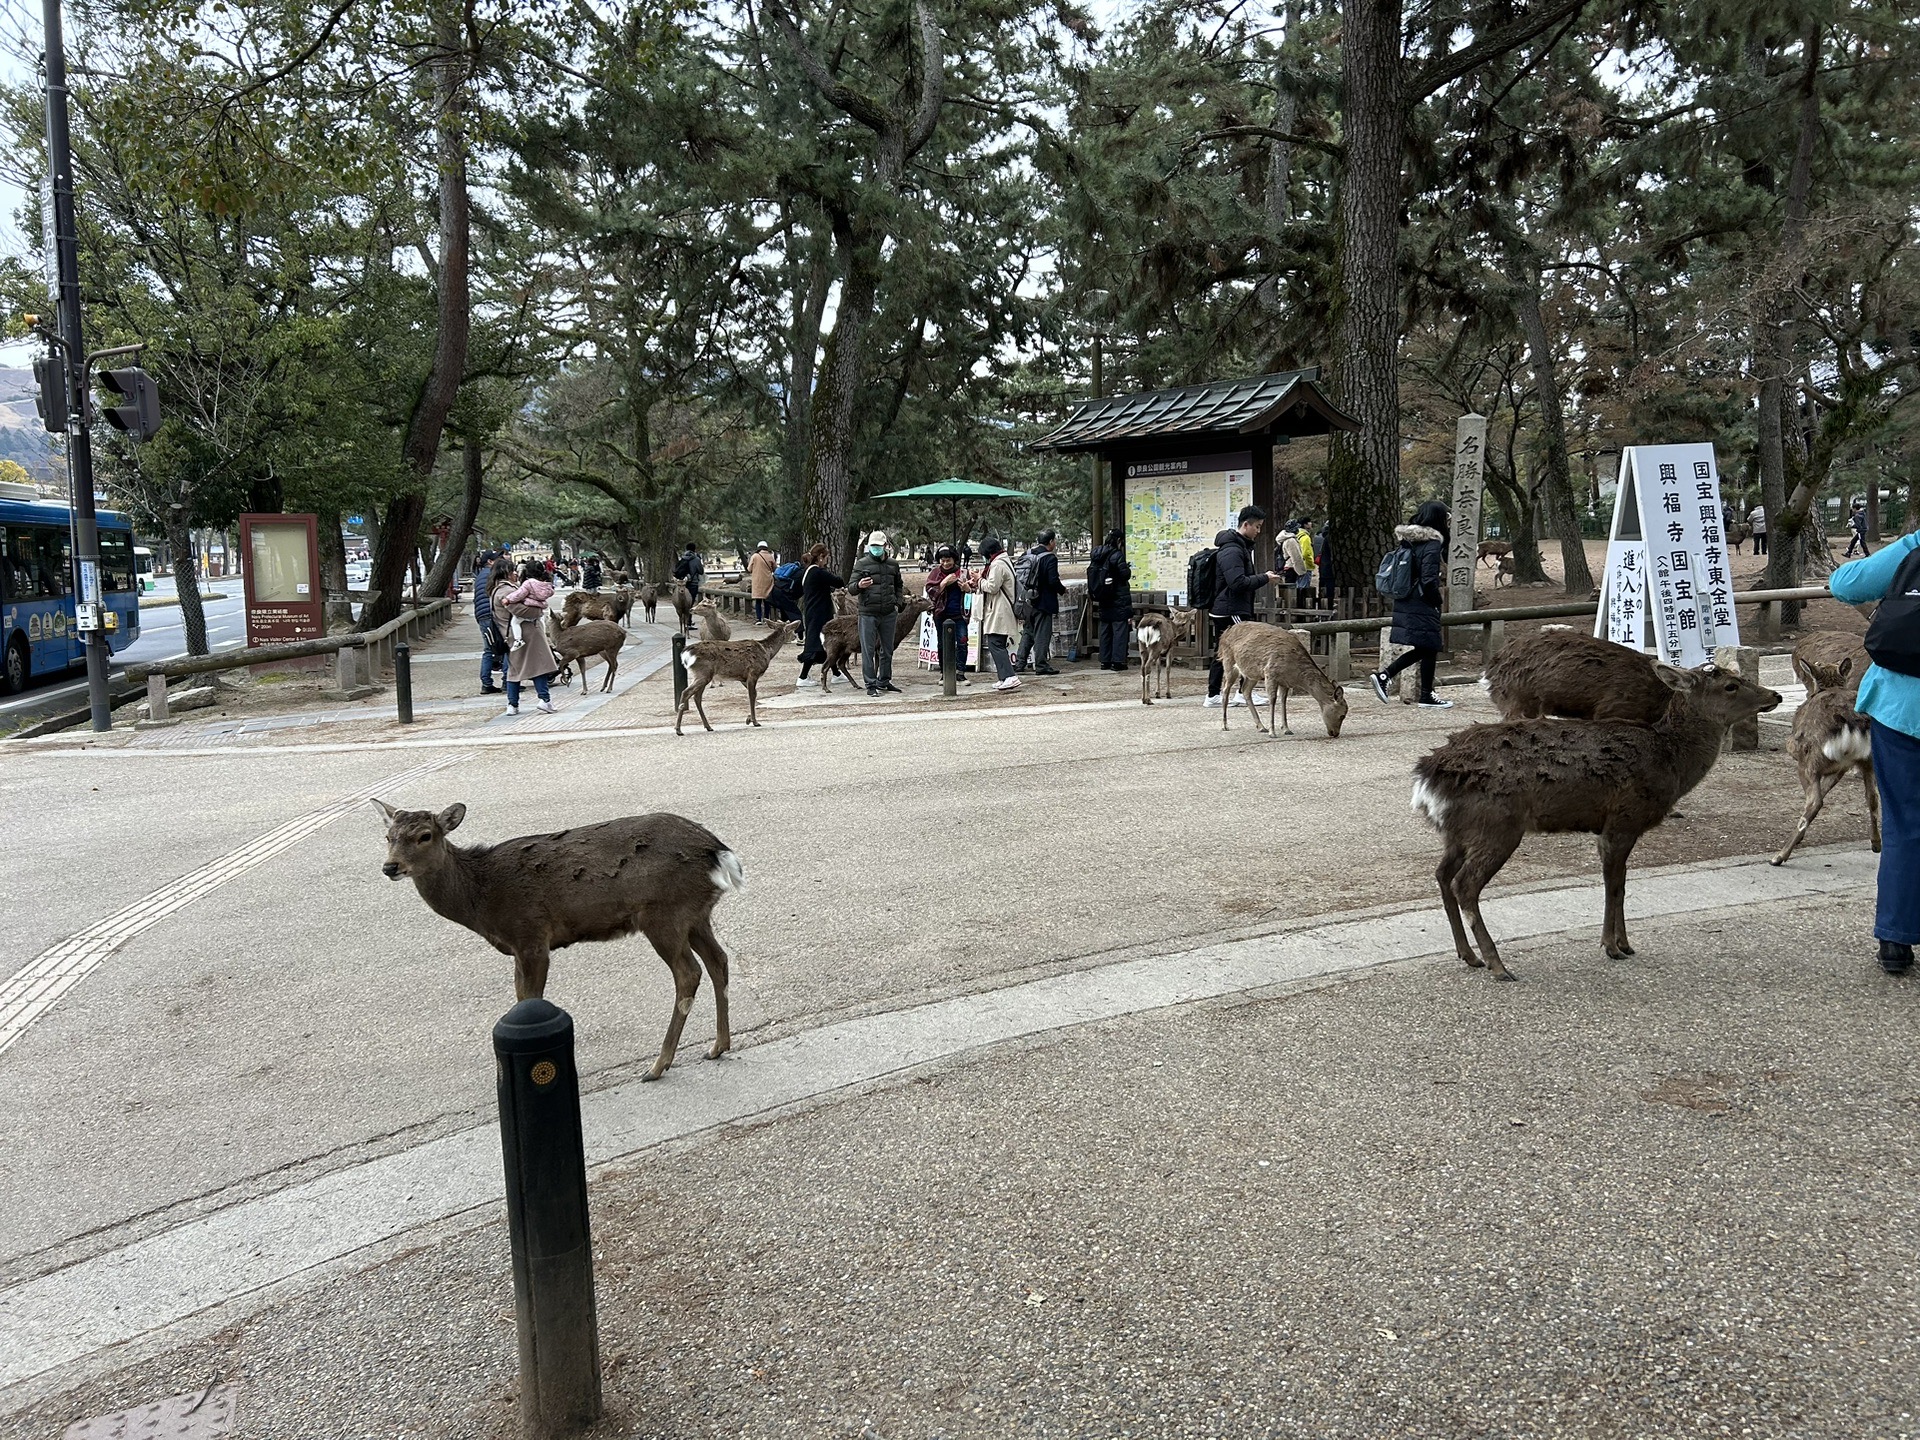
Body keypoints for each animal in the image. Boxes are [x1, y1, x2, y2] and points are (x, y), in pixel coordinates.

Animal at [374, 802, 741, 1082]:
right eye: (388, 836)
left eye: (424, 835)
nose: (391, 866)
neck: (481, 897)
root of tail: (718, 852)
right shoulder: (518, 946)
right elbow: (520, 998)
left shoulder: (531, 935)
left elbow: (530, 999)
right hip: (695, 914)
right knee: (718, 960)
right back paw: (718, 1046)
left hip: (663, 913)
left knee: (688, 972)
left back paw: (658, 1065)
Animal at [1213, 622, 1351, 737]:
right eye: (1342, 715)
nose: (1335, 733)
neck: (1295, 674)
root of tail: (1224, 634)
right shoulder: (1270, 673)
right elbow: (1273, 700)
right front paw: (1272, 732)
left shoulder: (1285, 682)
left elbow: (1283, 701)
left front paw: (1286, 729)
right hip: (1229, 663)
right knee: (1225, 690)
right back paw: (1225, 725)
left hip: (1252, 673)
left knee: (1245, 690)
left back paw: (1261, 726)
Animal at [1413, 664, 1781, 983]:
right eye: (1731, 685)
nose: (1775, 695)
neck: (1672, 763)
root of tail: (1427, 775)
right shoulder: (1625, 818)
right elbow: (1614, 884)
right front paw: (1612, 946)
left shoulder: (1611, 827)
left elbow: (1620, 884)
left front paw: (1625, 944)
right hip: (1497, 825)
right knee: (1465, 885)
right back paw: (1497, 965)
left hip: (1458, 831)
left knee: (1442, 875)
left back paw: (1468, 955)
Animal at [1766, 683, 1873, 864]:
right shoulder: (1839, 768)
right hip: (1868, 760)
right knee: (1873, 798)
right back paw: (1876, 843)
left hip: (1810, 761)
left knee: (1815, 802)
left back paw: (1779, 856)